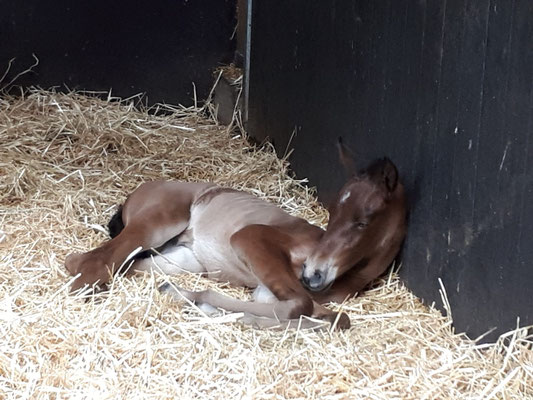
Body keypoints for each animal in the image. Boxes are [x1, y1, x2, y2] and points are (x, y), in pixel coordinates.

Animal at [66, 149, 408, 328]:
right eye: (332, 213)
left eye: (363, 222)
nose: (314, 273)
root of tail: (139, 191)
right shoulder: (251, 239)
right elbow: (302, 306)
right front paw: (198, 300)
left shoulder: (267, 292)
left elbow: (333, 317)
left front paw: (194, 301)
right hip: (156, 225)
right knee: (88, 260)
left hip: (180, 259)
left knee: (116, 264)